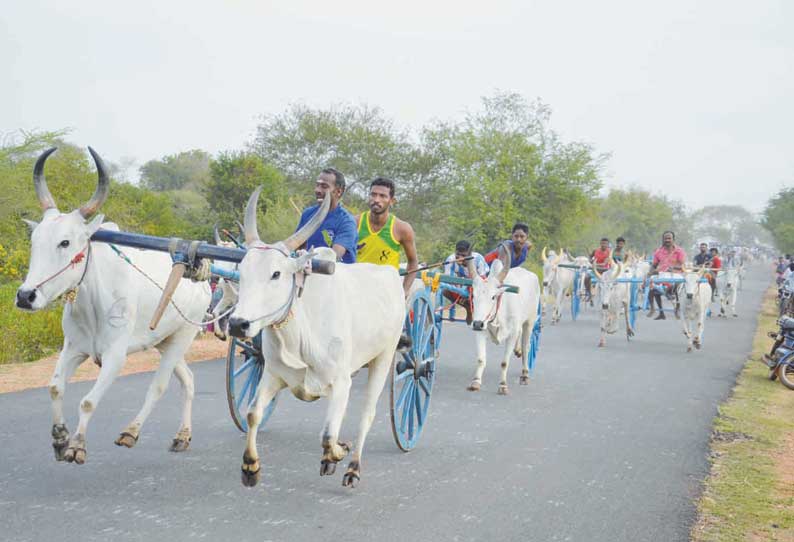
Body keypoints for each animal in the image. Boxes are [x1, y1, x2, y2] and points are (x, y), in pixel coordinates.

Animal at [15, 148, 210, 464]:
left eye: (65, 242)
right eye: (34, 241)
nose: (25, 296)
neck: (93, 302)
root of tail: (202, 276)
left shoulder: (115, 356)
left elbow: (87, 402)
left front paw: (77, 445)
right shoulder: (73, 347)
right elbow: (55, 387)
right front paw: (59, 438)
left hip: (184, 335)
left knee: (159, 386)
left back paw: (131, 431)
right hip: (164, 340)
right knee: (188, 380)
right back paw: (182, 436)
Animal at [227, 189, 402, 490]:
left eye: (276, 273)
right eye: (242, 271)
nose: (238, 324)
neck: (299, 335)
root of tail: (392, 274)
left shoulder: (341, 382)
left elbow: (328, 435)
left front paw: (338, 453)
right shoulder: (273, 375)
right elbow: (252, 414)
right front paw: (250, 466)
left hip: (385, 355)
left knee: (367, 414)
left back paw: (353, 467)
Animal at [464, 246, 540, 396]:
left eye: (493, 297)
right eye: (473, 296)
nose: (477, 324)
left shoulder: (511, 335)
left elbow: (504, 362)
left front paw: (503, 385)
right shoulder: (480, 332)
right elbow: (481, 359)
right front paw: (476, 382)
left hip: (530, 322)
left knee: (526, 347)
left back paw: (525, 374)